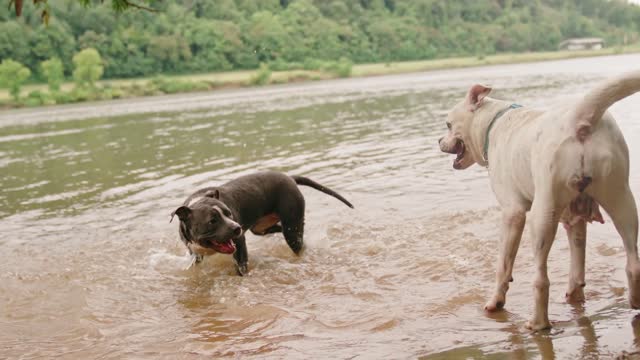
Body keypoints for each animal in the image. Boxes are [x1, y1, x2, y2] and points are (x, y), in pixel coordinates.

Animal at [170, 170, 352, 274]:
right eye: (212, 221)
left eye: (229, 214)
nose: (237, 228)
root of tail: (290, 178)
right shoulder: (195, 253)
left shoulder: (239, 244)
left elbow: (241, 269)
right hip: (261, 228)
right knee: (281, 229)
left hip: (291, 228)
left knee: (294, 237)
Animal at [438, 69, 640, 330]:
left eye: (448, 124)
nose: (439, 141)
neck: (493, 123)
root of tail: (578, 119)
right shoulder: (574, 216)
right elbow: (577, 263)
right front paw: (575, 295)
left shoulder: (512, 213)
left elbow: (503, 265)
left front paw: (495, 302)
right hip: (622, 199)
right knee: (633, 260)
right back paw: (634, 301)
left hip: (543, 214)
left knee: (541, 278)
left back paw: (537, 323)